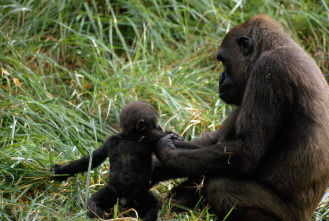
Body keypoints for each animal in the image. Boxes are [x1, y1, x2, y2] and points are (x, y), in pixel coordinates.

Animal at [152, 14, 328, 220]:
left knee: (220, 186)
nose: (220, 77)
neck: (275, 46)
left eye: (222, 60)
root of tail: (310, 213)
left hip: (292, 215)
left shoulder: (269, 69)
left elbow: (245, 152)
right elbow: (215, 141)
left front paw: (166, 152)